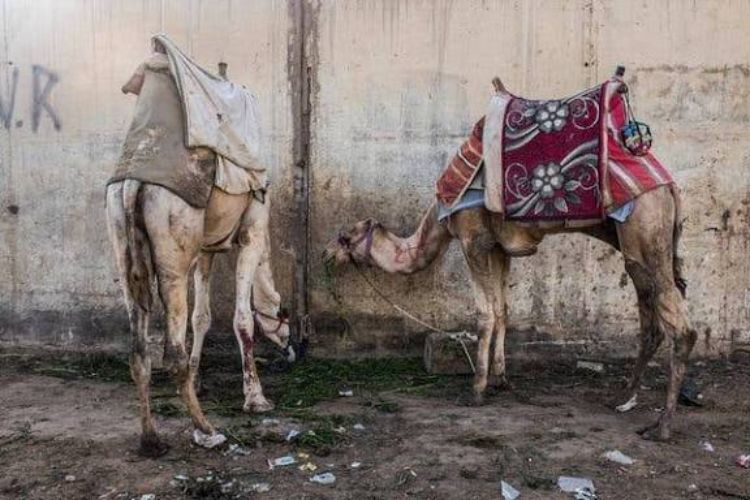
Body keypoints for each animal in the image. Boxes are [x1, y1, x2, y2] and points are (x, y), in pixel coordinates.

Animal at [324, 182, 695, 441]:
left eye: (345, 237)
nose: (325, 254)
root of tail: (671, 188)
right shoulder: (499, 247)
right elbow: (503, 309)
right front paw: (500, 379)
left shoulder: (472, 238)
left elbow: (485, 313)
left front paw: (476, 389)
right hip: (635, 241)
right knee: (652, 316)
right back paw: (622, 397)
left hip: (644, 228)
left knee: (682, 328)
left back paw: (661, 426)